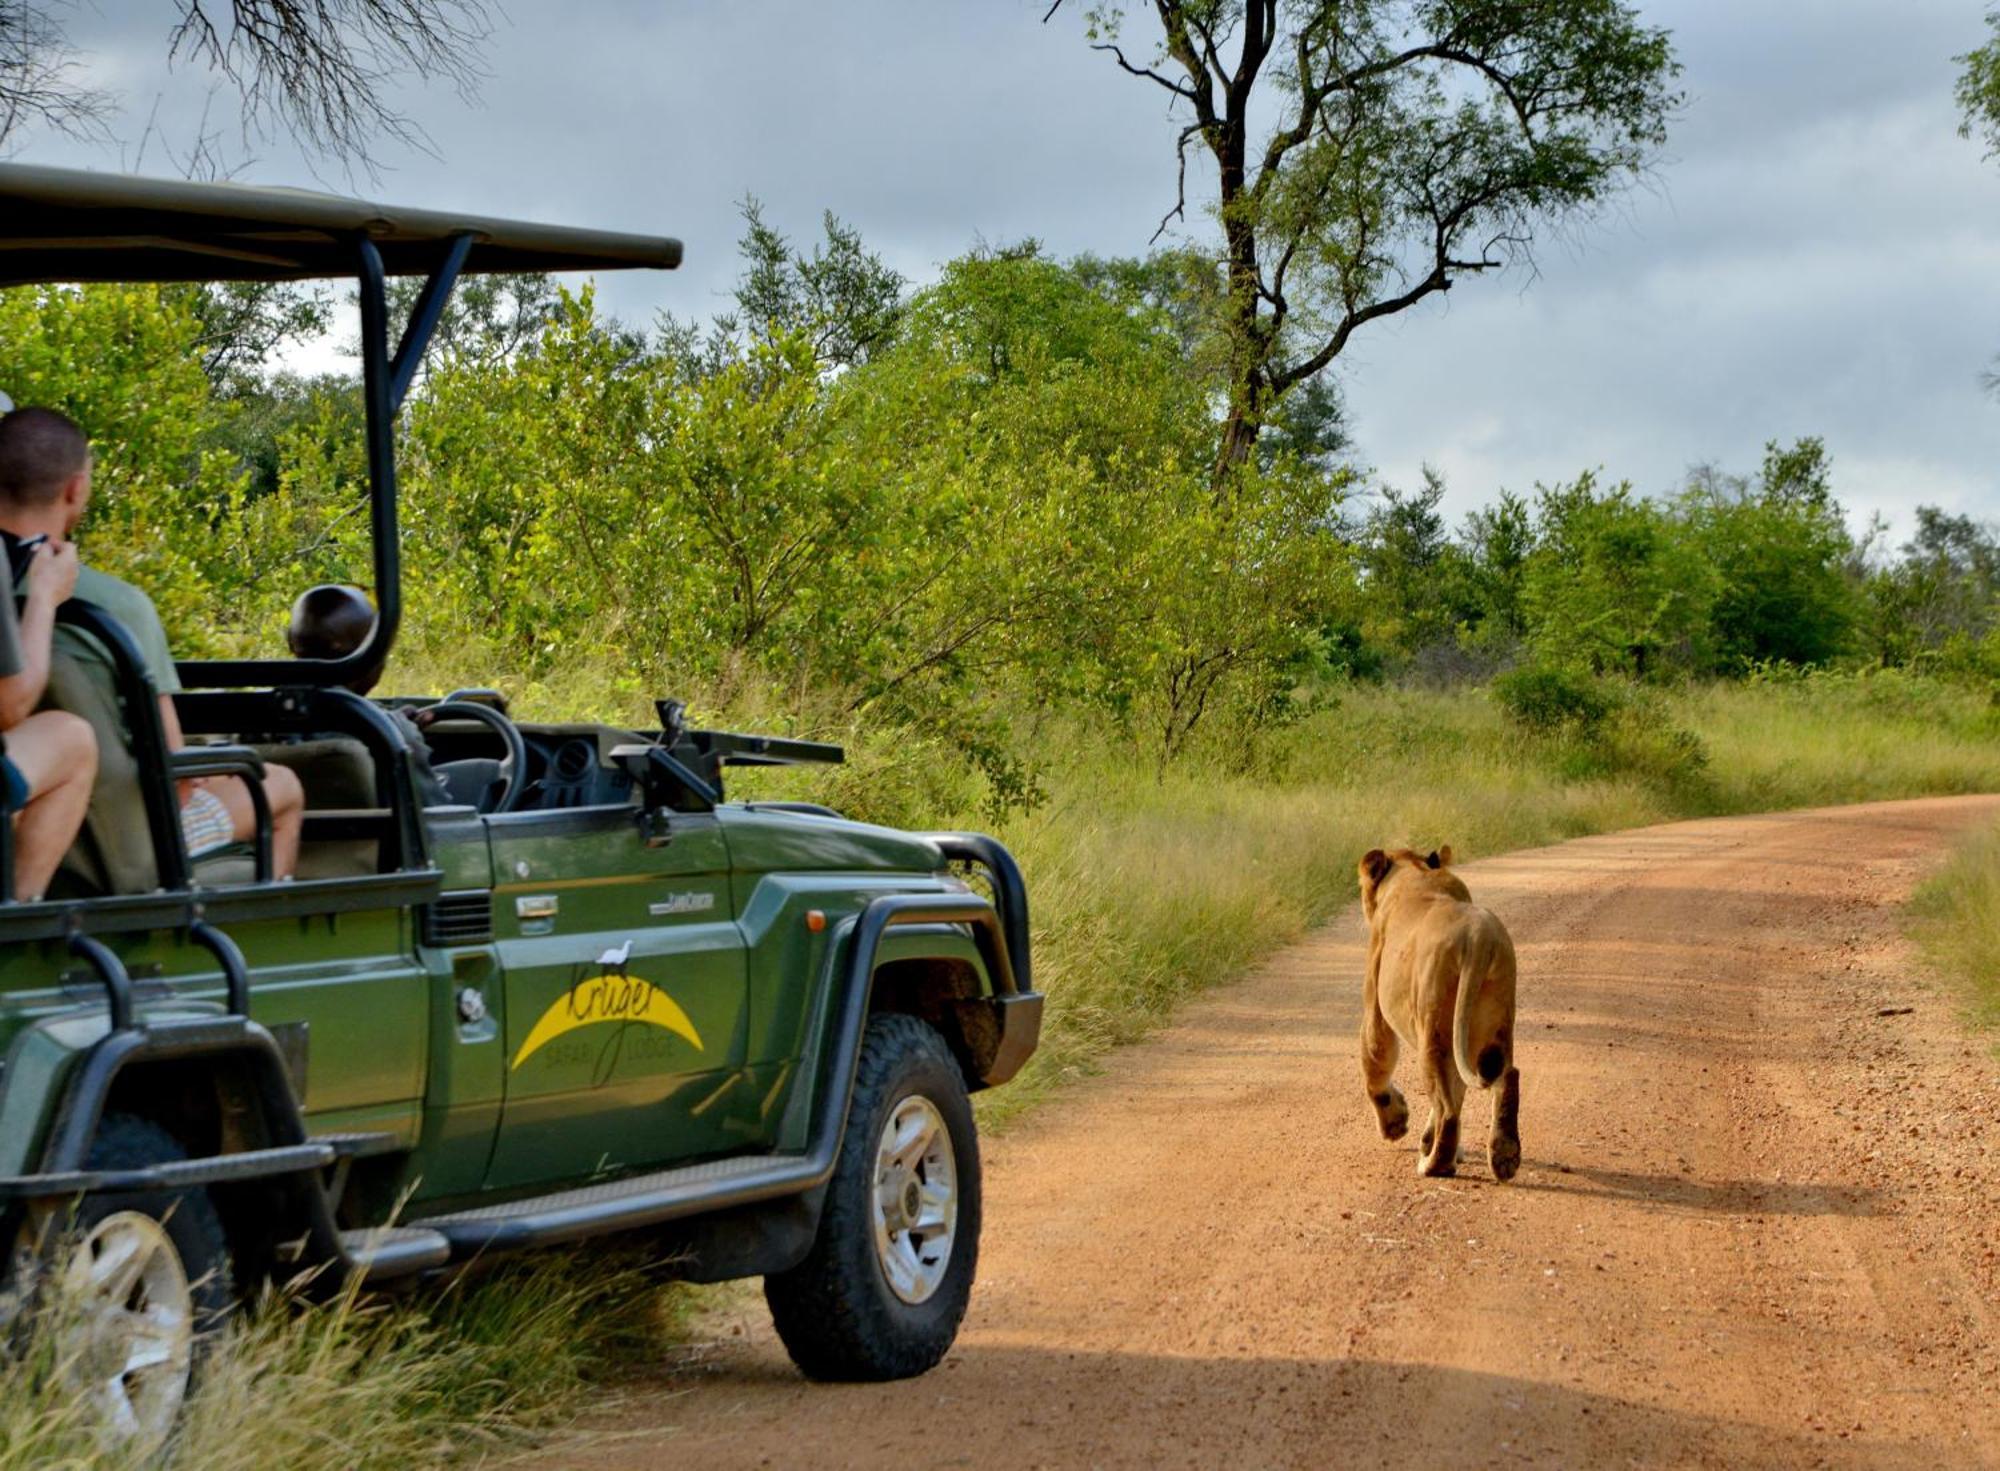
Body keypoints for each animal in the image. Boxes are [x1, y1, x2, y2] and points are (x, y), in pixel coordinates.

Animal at [1352, 843, 1520, 1175]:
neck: (1415, 871)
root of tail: (1478, 939)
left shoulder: (1375, 1001)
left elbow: (1375, 1060)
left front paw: (1395, 1125)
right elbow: (1458, 1089)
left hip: (1434, 1029)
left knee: (1448, 1110)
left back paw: (1434, 1165)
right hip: (1490, 1025)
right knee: (1503, 1077)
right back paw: (1504, 1157)